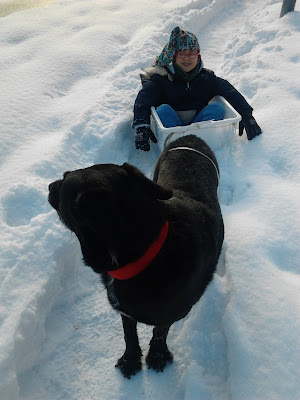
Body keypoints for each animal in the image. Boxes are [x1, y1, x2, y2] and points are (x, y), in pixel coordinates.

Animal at [48, 134, 223, 378]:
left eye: (64, 182)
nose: (49, 186)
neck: (146, 252)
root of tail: (191, 136)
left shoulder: (170, 313)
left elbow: (159, 332)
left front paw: (157, 355)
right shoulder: (126, 311)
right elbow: (129, 334)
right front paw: (130, 359)